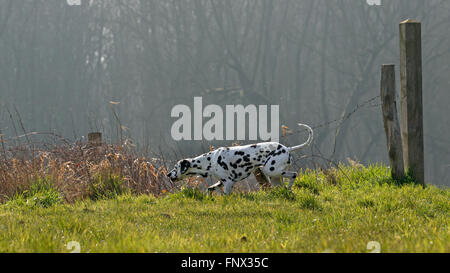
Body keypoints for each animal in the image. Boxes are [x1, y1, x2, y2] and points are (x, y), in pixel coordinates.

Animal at [166, 123, 312, 193]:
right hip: (274, 177)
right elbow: (209, 189)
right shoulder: (222, 182)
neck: (210, 161)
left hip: (271, 170)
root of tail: (287, 148)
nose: (168, 174)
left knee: (294, 174)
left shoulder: (228, 183)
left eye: (175, 167)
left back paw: (289, 187)